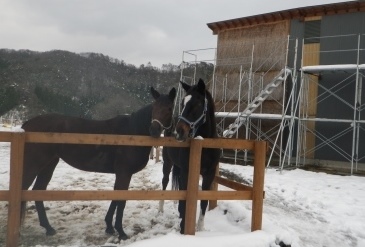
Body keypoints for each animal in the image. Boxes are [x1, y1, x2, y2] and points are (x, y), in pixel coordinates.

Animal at [20, 86, 176, 239]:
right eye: (154, 107)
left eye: (169, 108)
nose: (154, 130)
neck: (132, 133)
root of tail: (27, 124)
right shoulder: (124, 173)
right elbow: (121, 200)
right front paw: (121, 232)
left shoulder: (121, 174)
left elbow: (115, 197)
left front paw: (109, 227)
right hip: (33, 165)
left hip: (49, 165)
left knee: (37, 191)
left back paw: (48, 228)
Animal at [160, 78, 218, 233]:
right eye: (182, 103)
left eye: (197, 104)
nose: (178, 132)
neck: (203, 145)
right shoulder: (187, 171)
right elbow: (183, 199)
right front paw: (183, 226)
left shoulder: (209, 174)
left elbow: (204, 201)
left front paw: (200, 227)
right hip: (167, 163)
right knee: (164, 182)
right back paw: (160, 209)